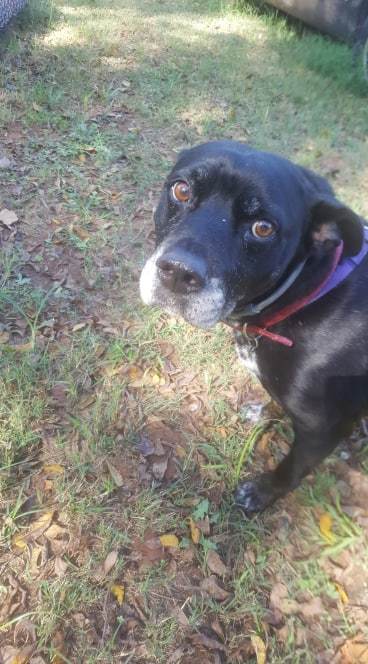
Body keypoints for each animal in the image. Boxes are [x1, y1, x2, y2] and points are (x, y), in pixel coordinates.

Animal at [139, 140, 366, 512]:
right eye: (182, 190)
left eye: (263, 228)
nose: (178, 273)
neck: (308, 293)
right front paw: (263, 413)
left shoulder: (325, 428)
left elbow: (293, 468)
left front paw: (262, 493)